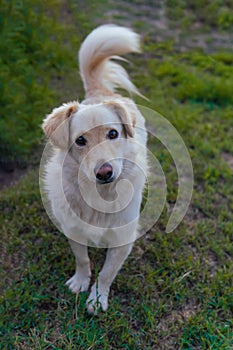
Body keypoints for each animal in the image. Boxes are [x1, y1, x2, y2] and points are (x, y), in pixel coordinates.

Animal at [41, 24, 147, 314]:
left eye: (113, 133)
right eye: (80, 141)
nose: (105, 172)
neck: (101, 198)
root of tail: (100, 92)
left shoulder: (122, 240)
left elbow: (107, 273)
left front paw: (98, 298)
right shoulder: (74, 230)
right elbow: (83, 260)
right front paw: (80, 282)